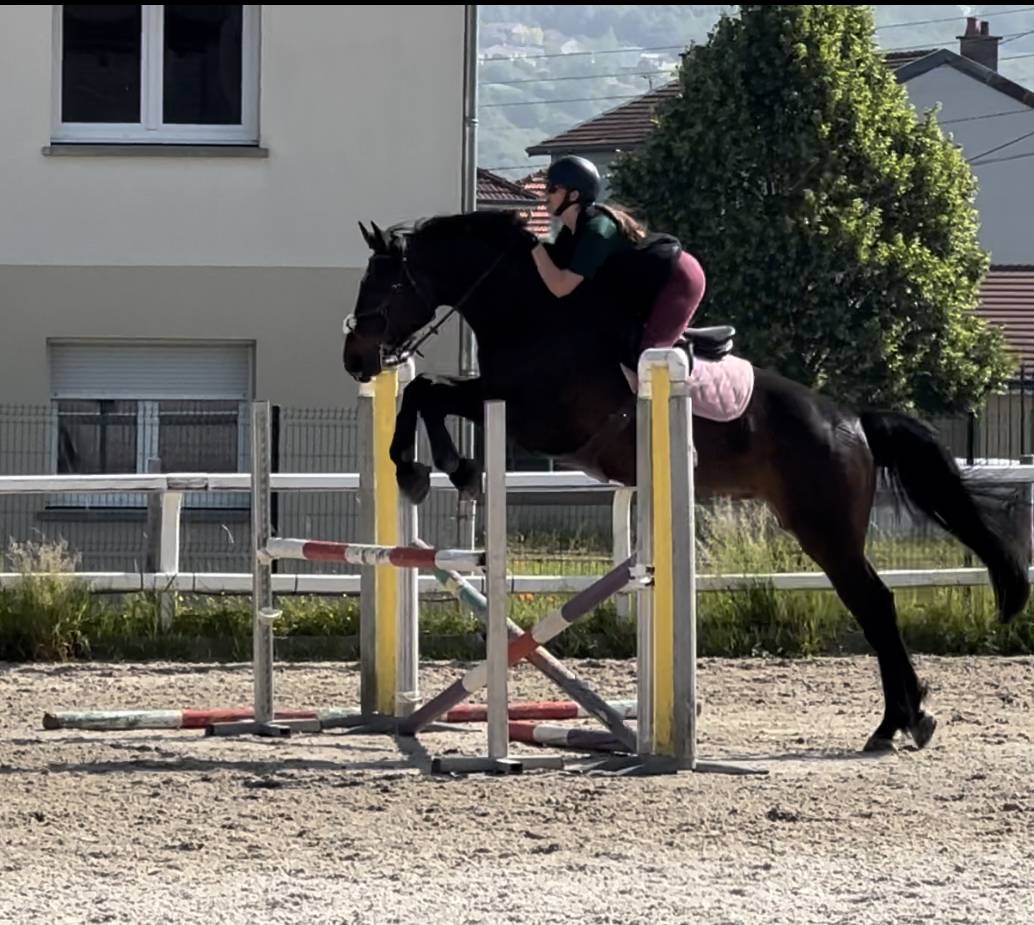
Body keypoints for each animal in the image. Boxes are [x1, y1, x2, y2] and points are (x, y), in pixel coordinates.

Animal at [342, 208, 1029, 754]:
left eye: (385, 281)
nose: (355, 359)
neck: (531, 310)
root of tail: (853, 419)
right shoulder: (508, 402)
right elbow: (428, 395)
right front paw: (427, 468)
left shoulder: (535, 415)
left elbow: (431, 392)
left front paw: (433, 467)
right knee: (874, 604)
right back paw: (907, 720)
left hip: (825, 528)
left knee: (877, 604)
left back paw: (897, 723)